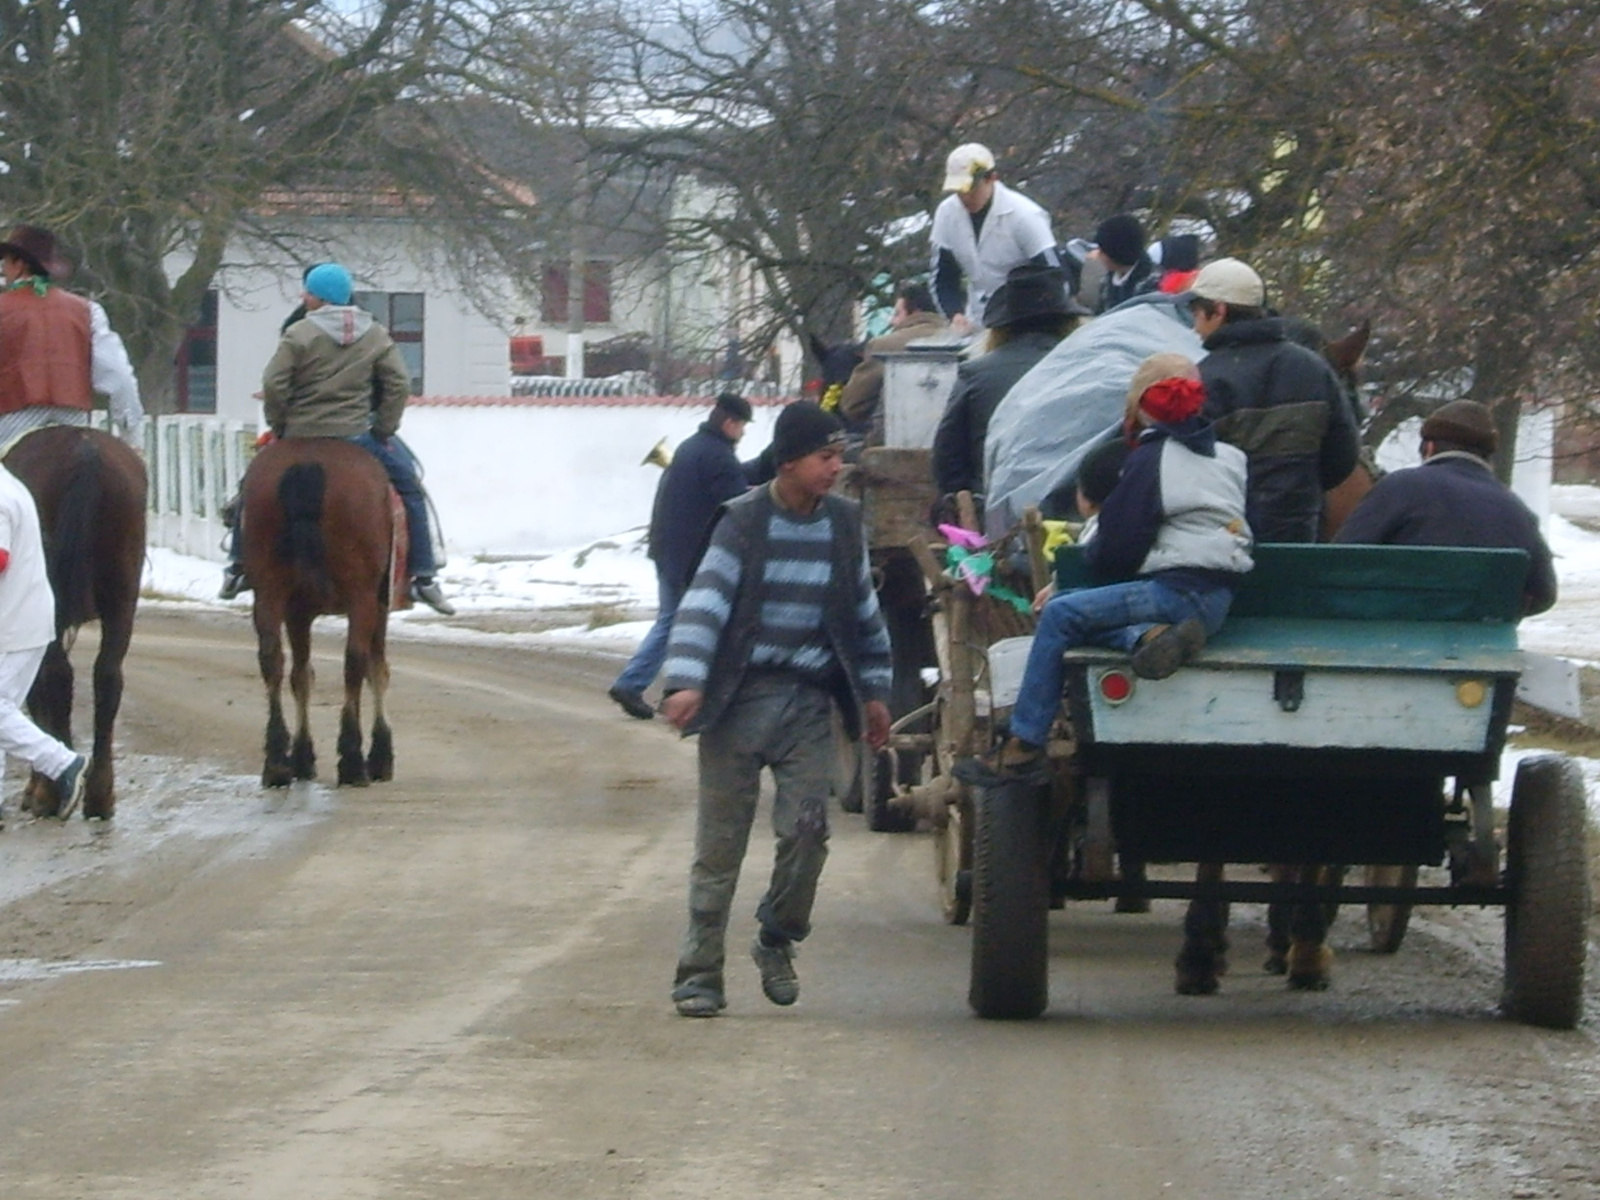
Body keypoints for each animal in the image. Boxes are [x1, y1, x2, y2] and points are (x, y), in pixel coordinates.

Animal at [2, 428, 147, 825]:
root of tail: (85, 449)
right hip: (122, 597)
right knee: (108, 676)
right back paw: (100, 795)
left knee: (55, 676)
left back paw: (51, 792)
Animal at [240, 438, 396, 790]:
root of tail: (308, 462)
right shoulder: (377, 604)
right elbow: (377, 671)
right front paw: (380, 756)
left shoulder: (298, 612)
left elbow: (302, 676)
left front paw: (301, 756)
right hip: (362, 597)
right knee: (355, 663)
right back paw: (352, 762)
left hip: (268, 592)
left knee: (272, 658)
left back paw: (276, 763)